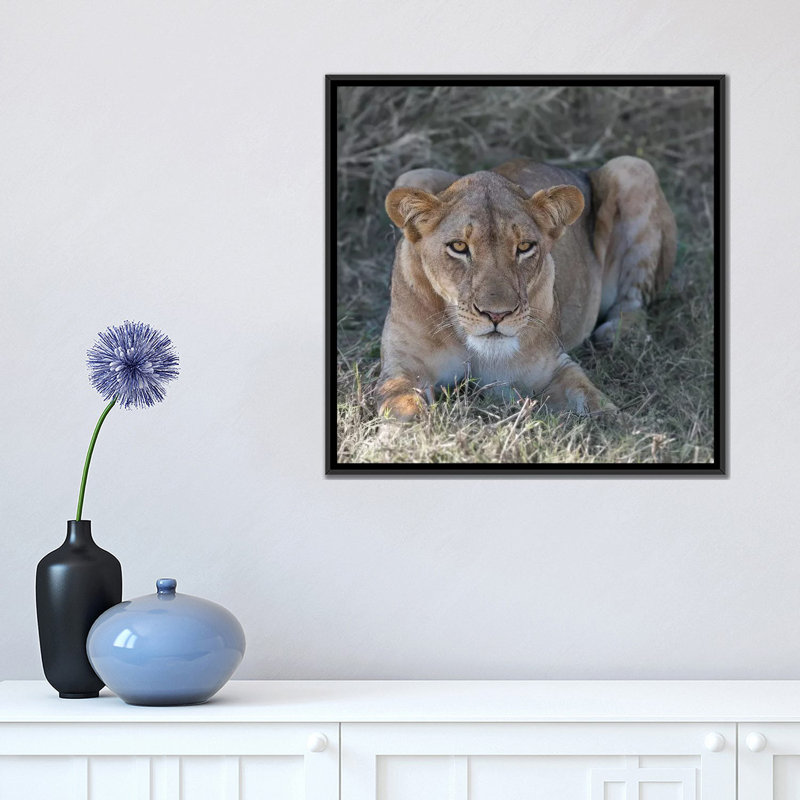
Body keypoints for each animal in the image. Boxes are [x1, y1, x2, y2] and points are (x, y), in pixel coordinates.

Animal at [376, 156, 677, 420]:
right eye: (459, 246)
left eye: (524, 247)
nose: (496, 315)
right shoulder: (403, 368)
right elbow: (401, 406)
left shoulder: (554, 368)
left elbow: (592, 399)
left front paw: (622, 429)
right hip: (412, 175)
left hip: (633, 167)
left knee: (635, 299)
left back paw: (618, 333)